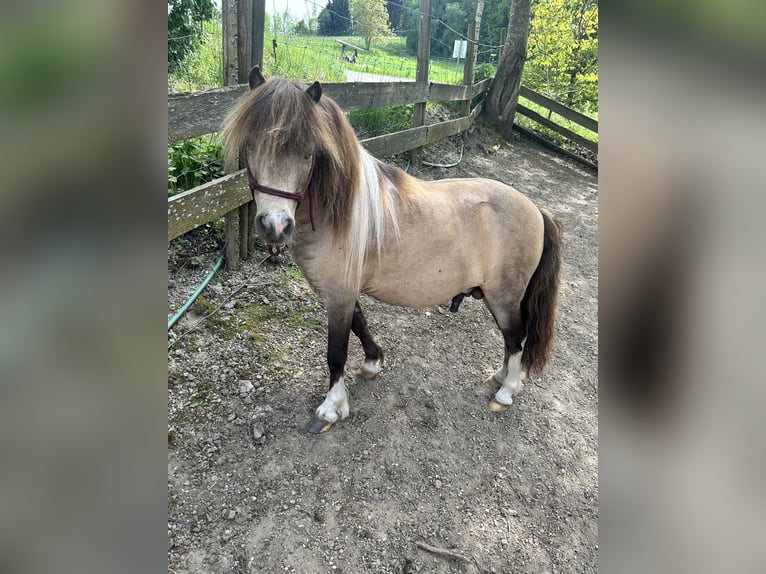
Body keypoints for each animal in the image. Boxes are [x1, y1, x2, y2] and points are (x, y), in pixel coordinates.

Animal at [222, 67, 562, 433]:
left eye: (308, 153)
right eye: (251, 145)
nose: (275, 225)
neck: (340, 214)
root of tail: (536, 210)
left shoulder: (338, 294)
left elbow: (336, 351)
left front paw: (331, 407)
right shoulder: (344, 292)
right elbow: (360, 324)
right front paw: (373, 361)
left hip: (504, 296)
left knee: (516, 339)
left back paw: (507, 390)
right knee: (512, 341)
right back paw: (500, 377)